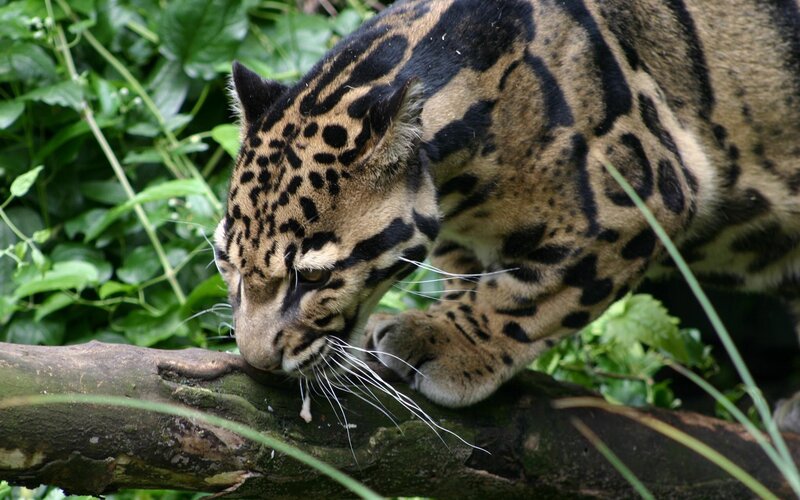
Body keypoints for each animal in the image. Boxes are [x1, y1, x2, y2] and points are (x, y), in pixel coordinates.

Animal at [214, 0, 800, 428]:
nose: (256, 364)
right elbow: (468, 270)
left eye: (313, 278)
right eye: (226, 261)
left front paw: (447, 340)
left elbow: (529, 293)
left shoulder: (645, 196)